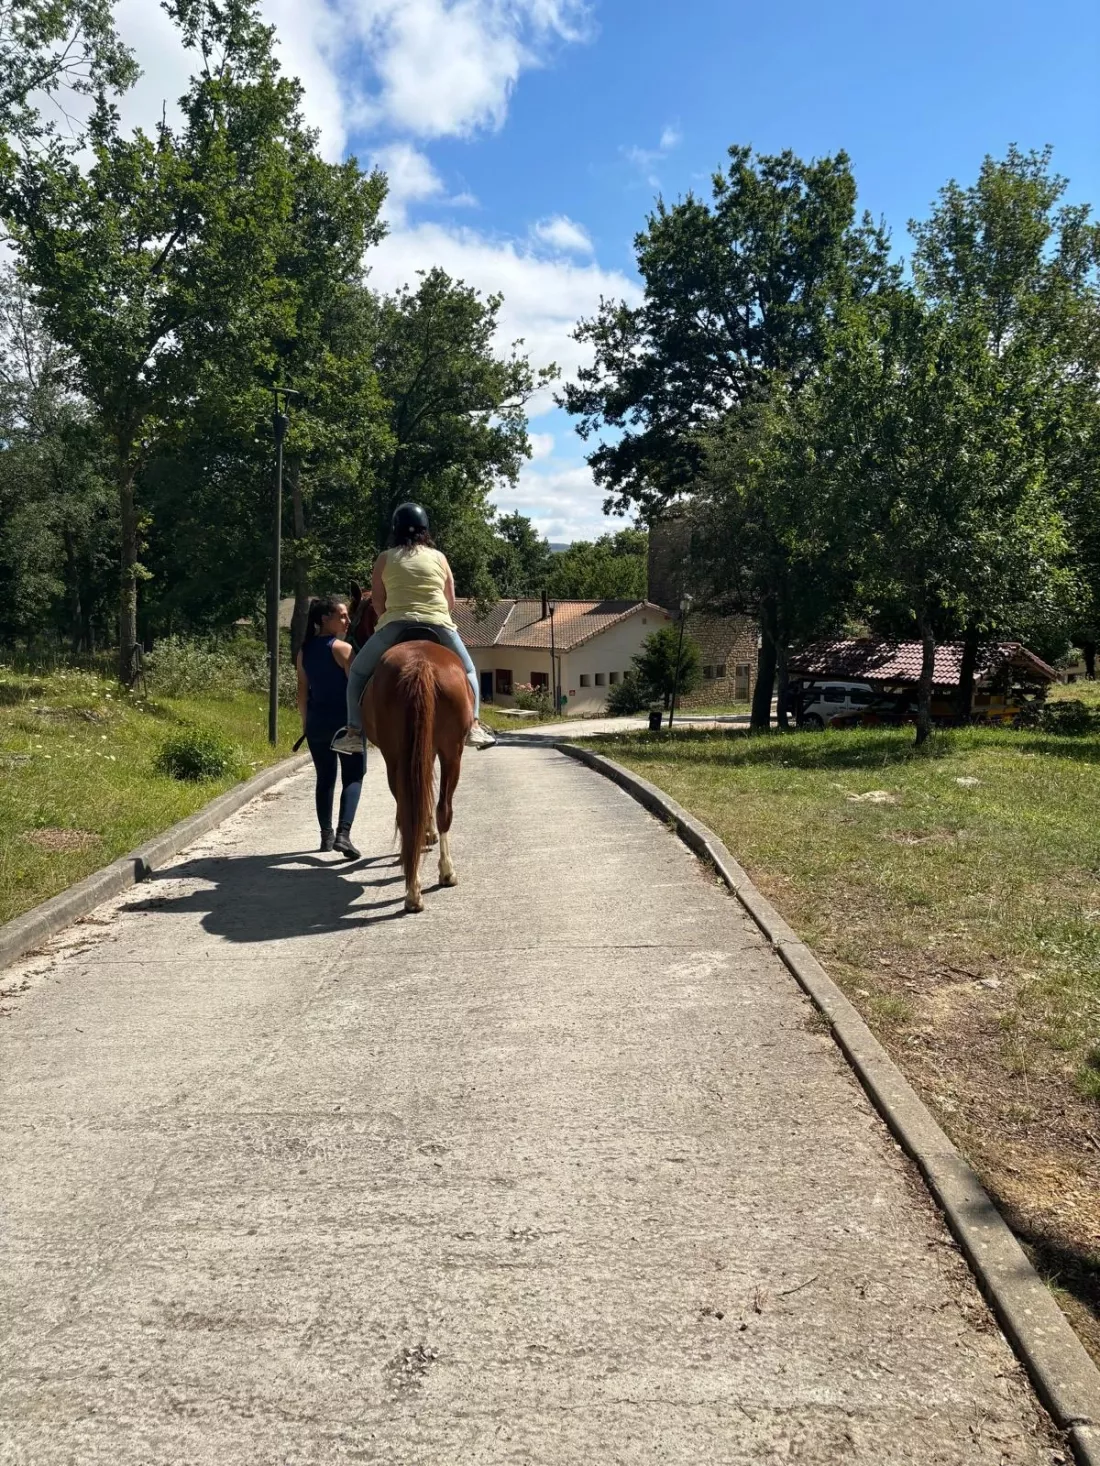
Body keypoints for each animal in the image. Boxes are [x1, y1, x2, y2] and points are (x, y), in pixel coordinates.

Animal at [360, 632, 472, 913]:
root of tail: (421, 664)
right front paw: (428, 836)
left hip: (397, 758)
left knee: (409, 810)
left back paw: (414, 886)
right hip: (451, 753)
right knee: (441, 809)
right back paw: (441, 874)